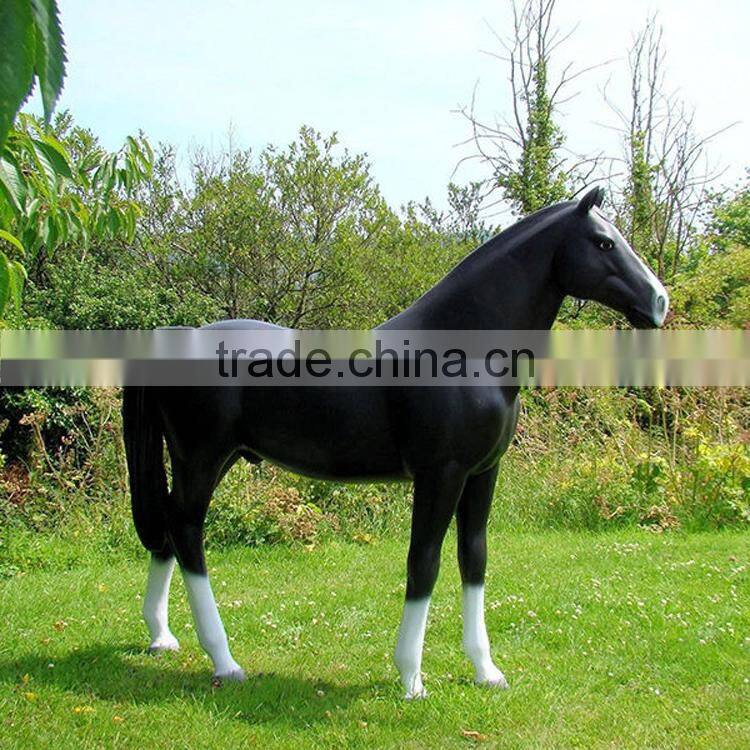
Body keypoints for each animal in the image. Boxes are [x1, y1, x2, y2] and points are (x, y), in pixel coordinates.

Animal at [122, 187, 669, 699]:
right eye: (603, 242)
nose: (659, 301)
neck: (462, 351)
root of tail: (177, 336)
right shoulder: (440, 474)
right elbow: (423, 562)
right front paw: (411, 678)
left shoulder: (482, 473)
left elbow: (474, 557)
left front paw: (485, 671)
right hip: (201, 457)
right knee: (187, 531)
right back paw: (224, 660)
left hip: (211, 459)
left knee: (169, 529)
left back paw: (161, 637)